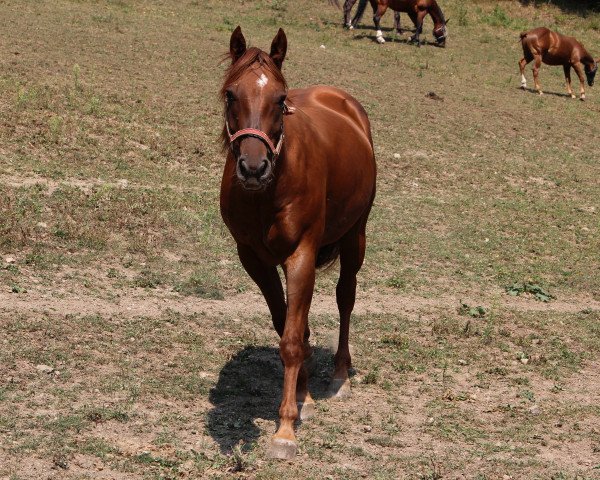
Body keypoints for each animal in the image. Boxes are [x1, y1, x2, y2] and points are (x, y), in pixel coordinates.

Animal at [218, 25, 378, 458]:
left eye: (280, 99)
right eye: (231, 95)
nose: (253, 167)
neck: (268, 193)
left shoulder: (301, 254)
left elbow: (291, 338)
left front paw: (286, 429)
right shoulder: (253, 258)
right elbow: (287, 325)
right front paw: (302, 396)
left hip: (355, 237)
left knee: (345, 298)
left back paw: (339, 375)